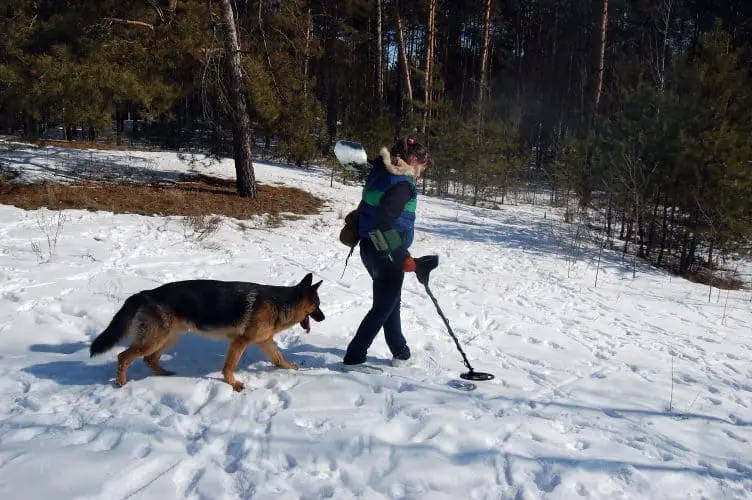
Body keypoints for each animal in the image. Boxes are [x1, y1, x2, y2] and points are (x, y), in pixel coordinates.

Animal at [89, 274, 324, 390]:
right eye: (317, 305)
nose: (323, 318)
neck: (282, 302)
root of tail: (145, 293)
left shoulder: (264, 341)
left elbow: (278, 358)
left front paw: (289, 368)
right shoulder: (239, 342)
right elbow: (229, 367)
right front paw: (233, 384)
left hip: (169, 338)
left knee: (149, 359)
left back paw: (165, 375)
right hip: (155, 339)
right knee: (123, 356)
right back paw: (121, 384)